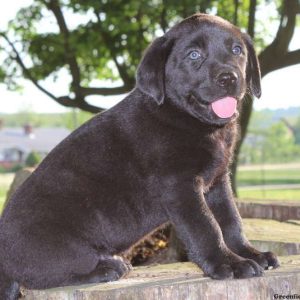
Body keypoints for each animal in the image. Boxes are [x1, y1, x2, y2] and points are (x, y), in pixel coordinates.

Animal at [0, 12, 278, 298]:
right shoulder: (180, 188)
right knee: (49, 276)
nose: (229, 77)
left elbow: (231, 220)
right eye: (193, 55)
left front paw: (250, 253)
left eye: (237, 50)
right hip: (63, 248)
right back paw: (107, 268)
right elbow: (207, 227)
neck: (184, 117)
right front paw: (229, 264)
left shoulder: (217, 182)